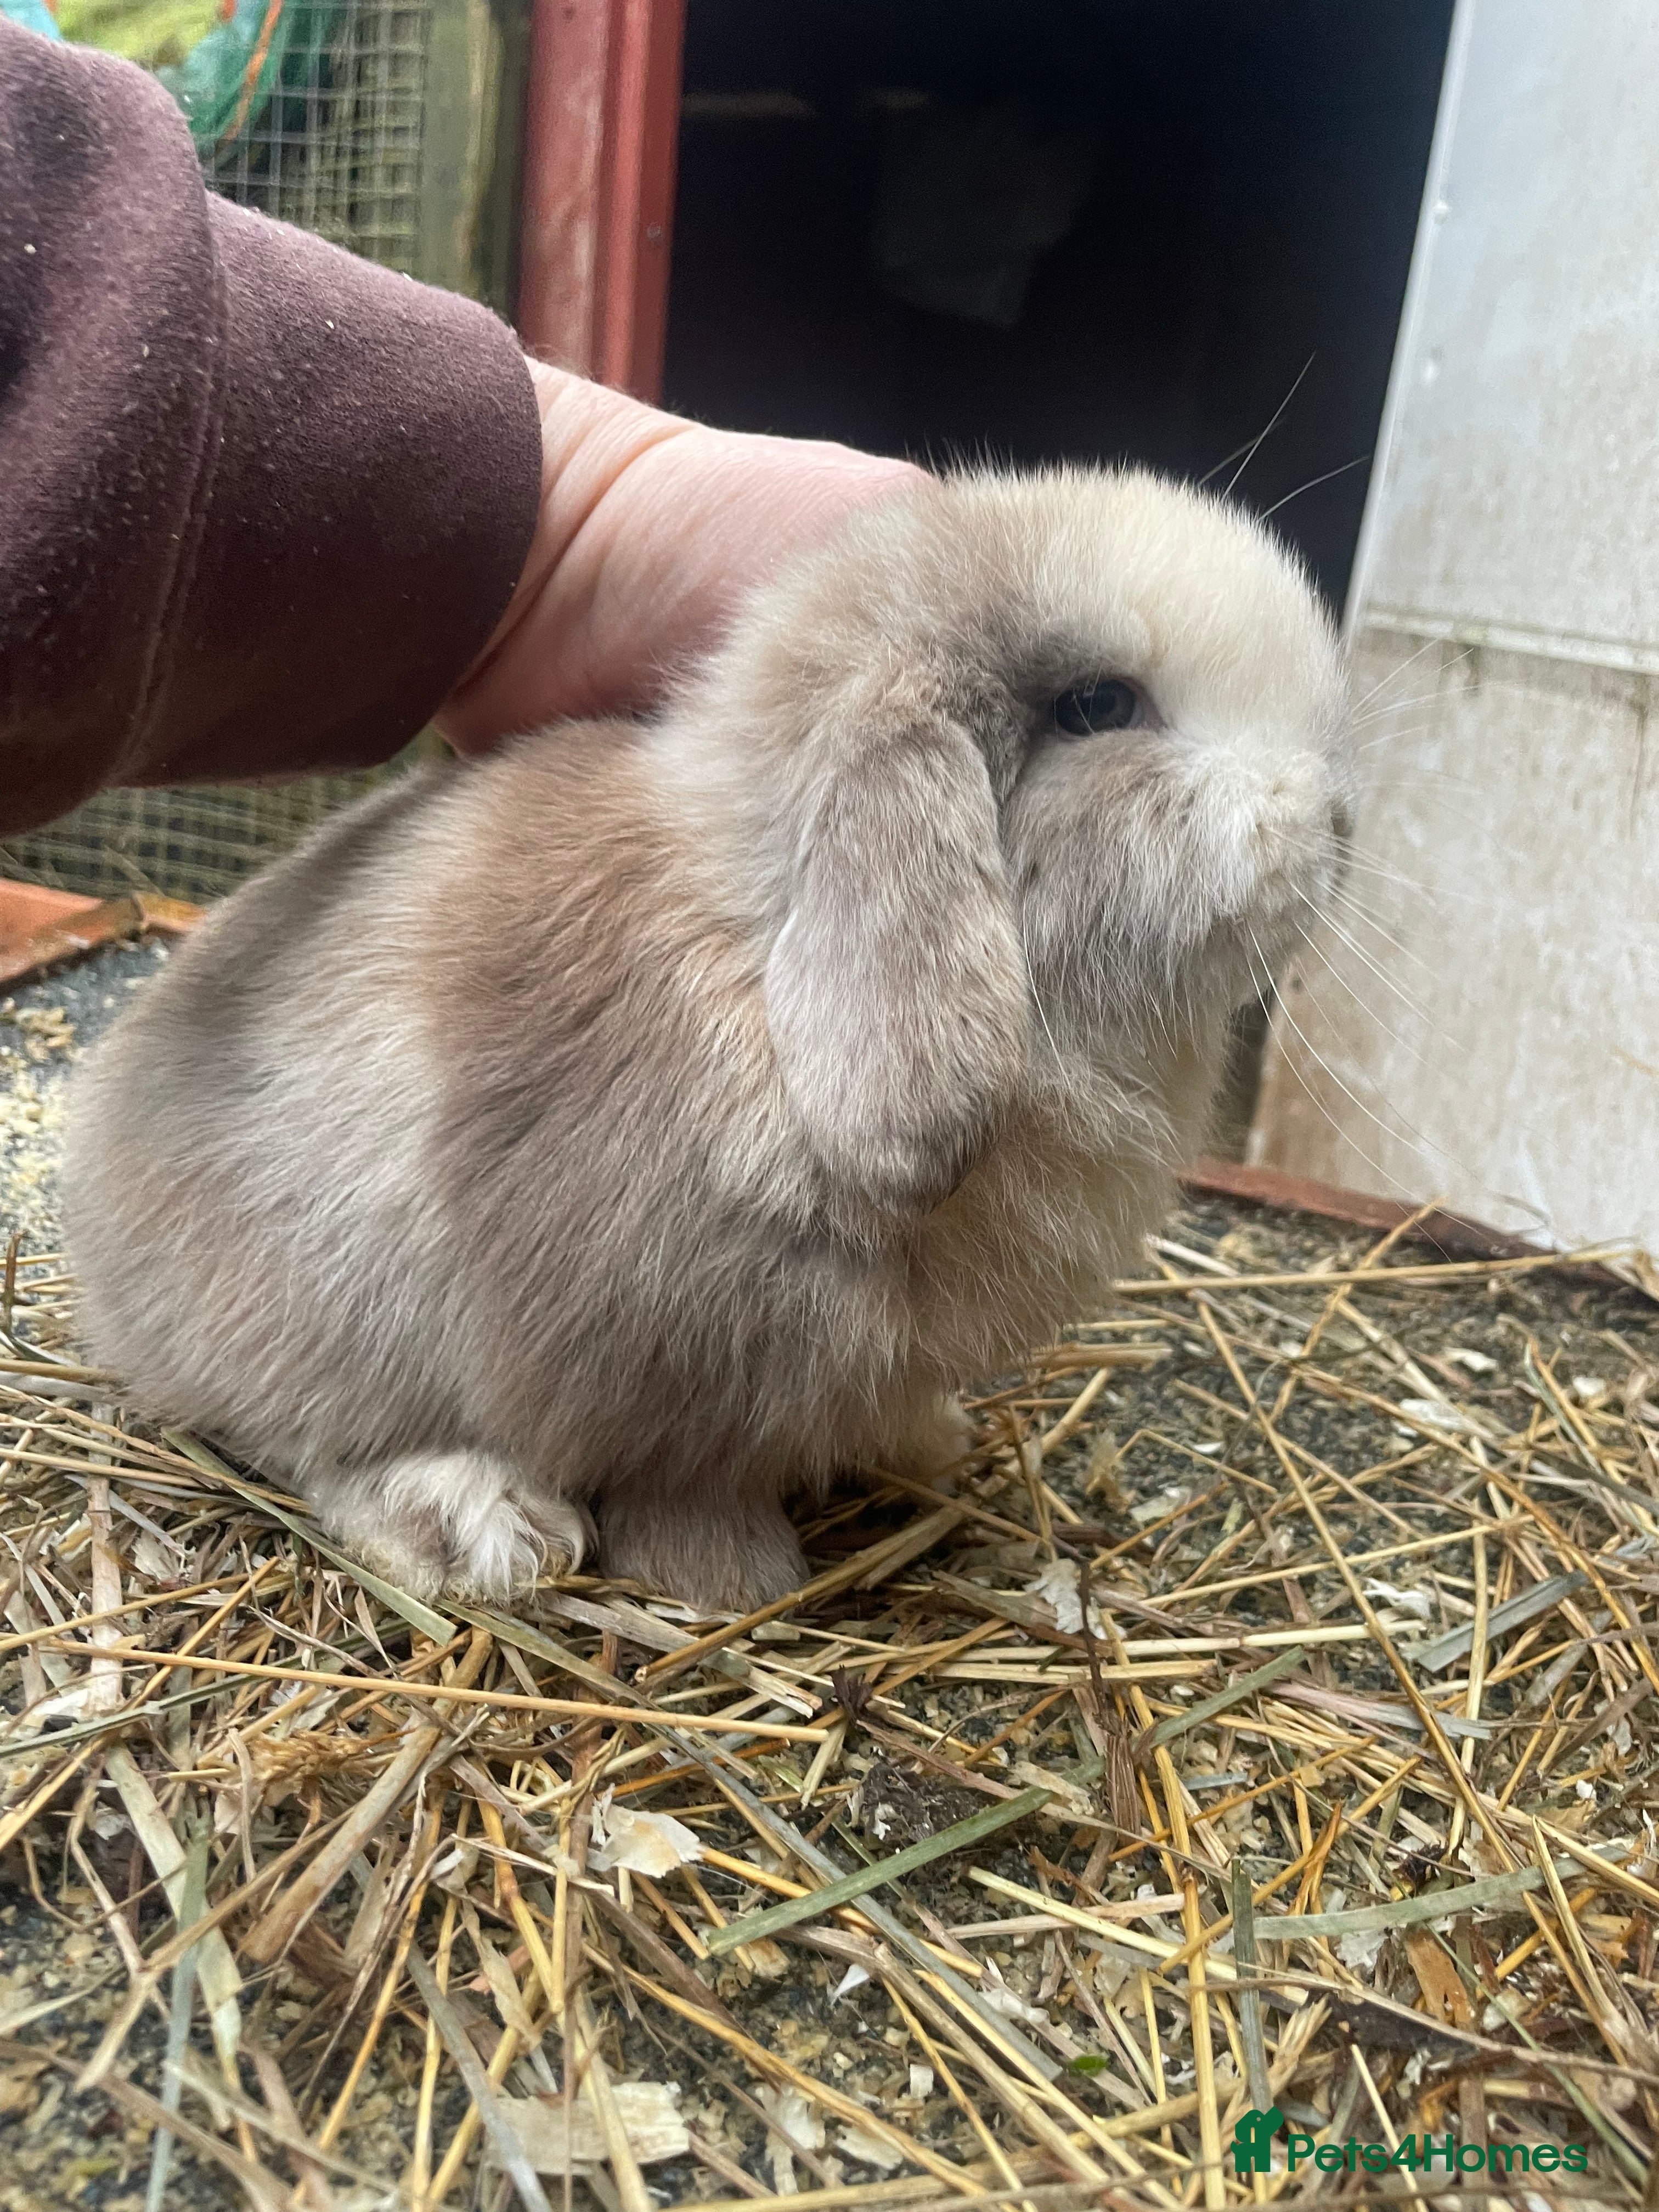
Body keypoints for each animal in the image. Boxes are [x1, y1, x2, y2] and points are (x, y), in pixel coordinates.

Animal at [62, 465, 1352, 1615]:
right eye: (1099, 706)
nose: (1335, 820)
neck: (762, 944)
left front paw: (931, 1443)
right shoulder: (673, 1375)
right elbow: (687, 1487)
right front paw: (734, 1586)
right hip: (322, 1313)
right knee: (302, 1440)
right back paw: (480, 1526)